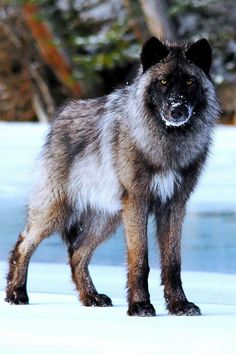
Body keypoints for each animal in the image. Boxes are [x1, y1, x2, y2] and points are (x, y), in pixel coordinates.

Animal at [6, 37, 219, 316]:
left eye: (189, 83)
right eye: (163, 82)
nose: (177, 110)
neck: (167, 145)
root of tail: (62, 115)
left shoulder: (175, 205)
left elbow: (173, 263)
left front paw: (180, 305)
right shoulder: (137, 203)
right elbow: (140, 259)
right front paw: (140, 306)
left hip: (108, 218)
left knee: (77, 253)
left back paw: (91, 297)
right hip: (56, 210)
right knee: (23, 244)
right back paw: (16, 294)